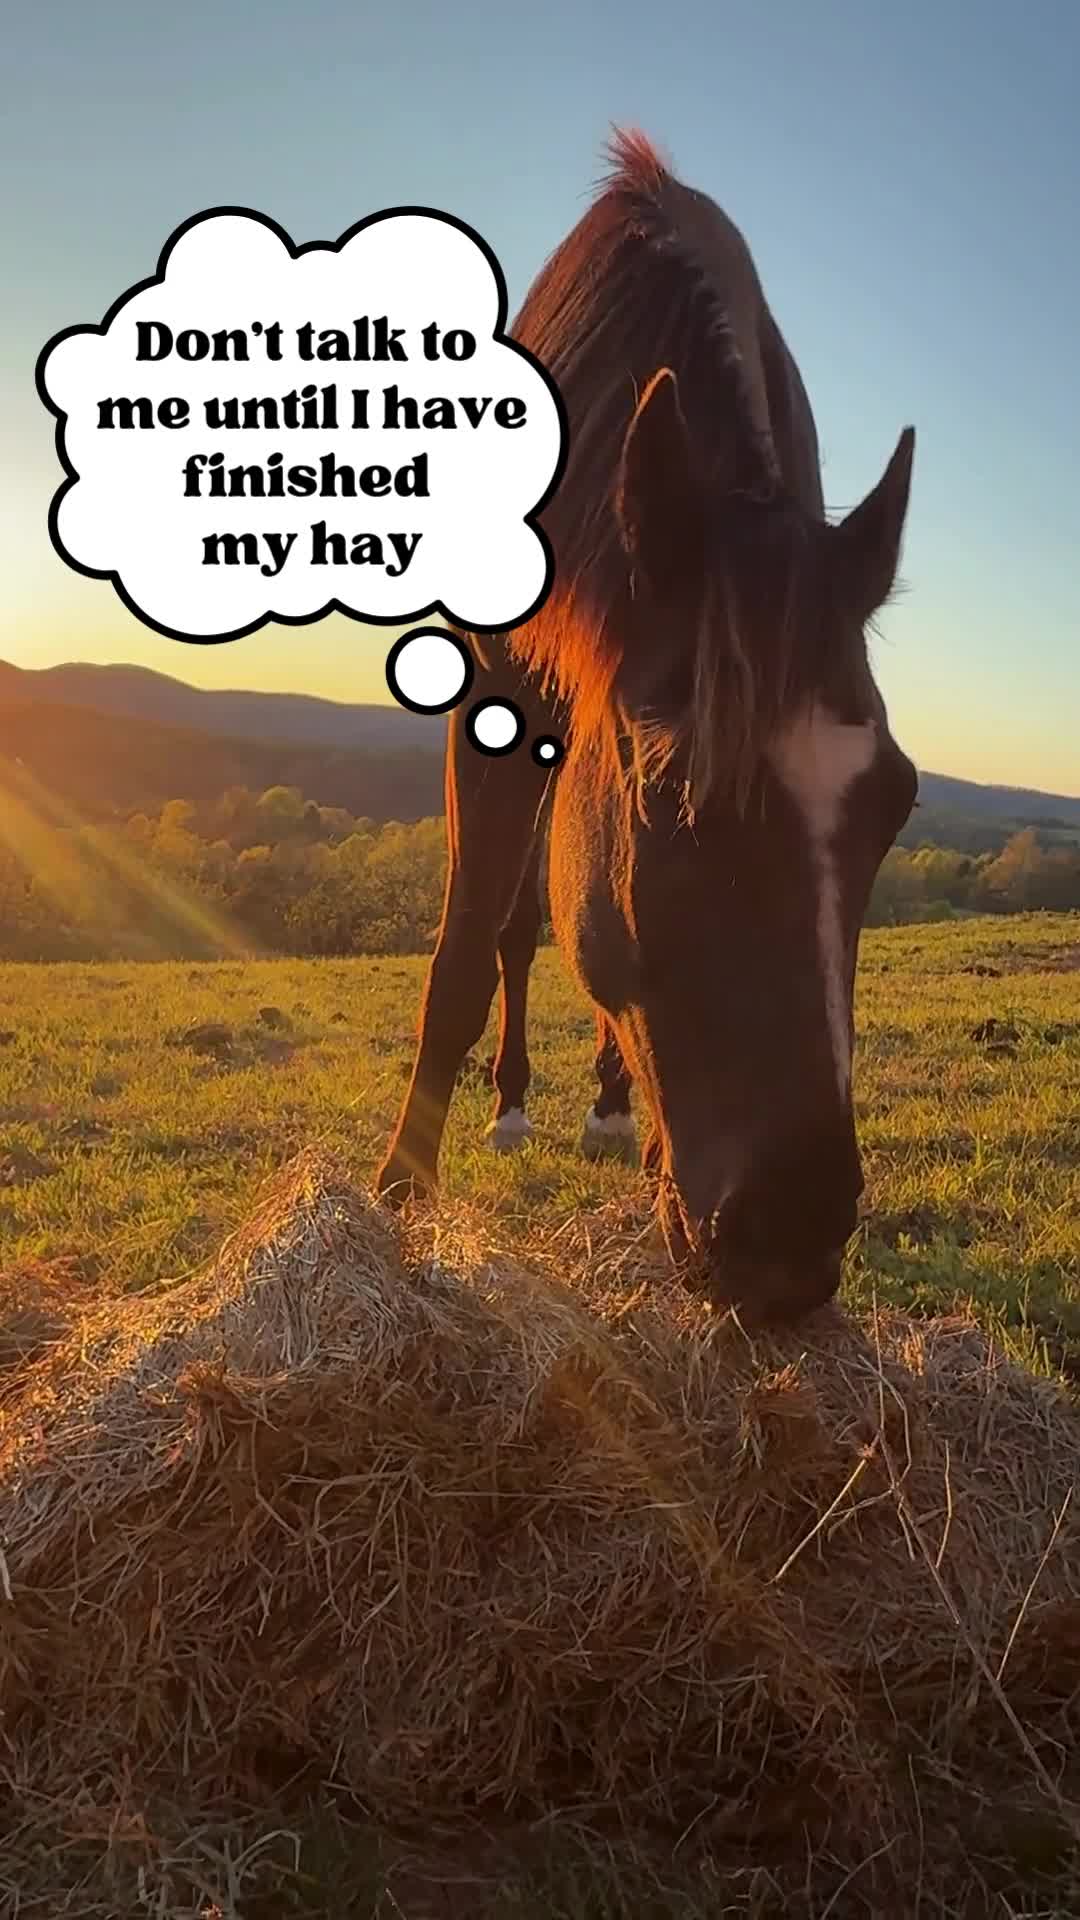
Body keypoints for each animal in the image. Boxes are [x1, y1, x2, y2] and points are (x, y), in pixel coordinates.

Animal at [376, 129, 918, 1325]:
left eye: (897, 807)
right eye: (670, 786)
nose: (788, 1247)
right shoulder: (493, 700)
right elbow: (466, 952)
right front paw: (398, 1196)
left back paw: (611, 1108)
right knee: (514, 930)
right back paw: (515, 1105)